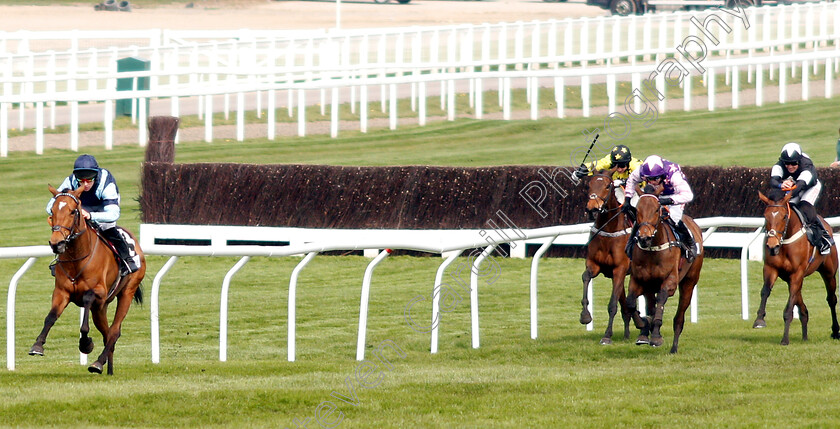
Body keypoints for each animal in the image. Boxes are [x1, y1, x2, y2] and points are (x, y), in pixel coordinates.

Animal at [30, 186, 146, 372]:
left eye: (73, 211)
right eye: (52, 211)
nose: (56, 243)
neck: (77, 258)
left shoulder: (97, 293)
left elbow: (85, 318)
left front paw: (85, 344)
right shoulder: (62, 292)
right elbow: (51, 317)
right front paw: (37, 345)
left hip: (127, 292)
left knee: (114, 331)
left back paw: (98, 363)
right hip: (101, 308)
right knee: (107, 333)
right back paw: (108, 368)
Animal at [580, 171, 632, 344]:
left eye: (608, 186)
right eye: (588, 185)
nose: (592, 209)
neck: (609, 230)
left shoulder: (620, 269)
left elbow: (612, 305)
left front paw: (607, 335)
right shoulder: (595, 265)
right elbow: (585, 277)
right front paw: (585, 316)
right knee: (625, 303)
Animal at [624, 186, 704, 352]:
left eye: (656, 209)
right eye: (637, 209)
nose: (644, 238)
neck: (653, 249)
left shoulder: (670, 281)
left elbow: (661, 299)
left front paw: (655, 336)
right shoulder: (639, 280)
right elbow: (630, 302)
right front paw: (643, 324)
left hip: (689, 282)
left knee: (679, 317)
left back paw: (674, 347)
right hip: (650, 287)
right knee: (650, 306)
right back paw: (645, 332)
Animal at [752, 191, 836, 344]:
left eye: (784, 216)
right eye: (765, 216)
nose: (772, 246)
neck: (785, 241)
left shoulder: (797, 273)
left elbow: (789, 305)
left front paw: (785, 339)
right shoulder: (771, 268)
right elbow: (765, 291)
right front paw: (759, 320)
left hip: (829, 272)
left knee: (831, 300)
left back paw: (835, 332)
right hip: (791, 278)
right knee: (800, 300)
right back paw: (805, 333)